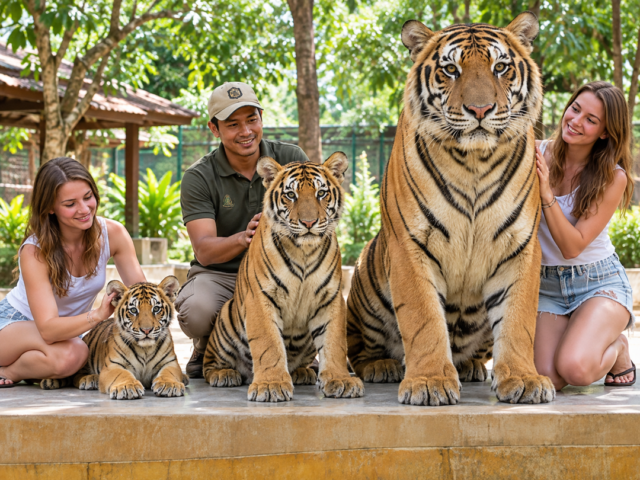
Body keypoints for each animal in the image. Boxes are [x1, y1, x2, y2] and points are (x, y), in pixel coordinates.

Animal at [202, 152, 364, 403]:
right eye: (290, 195)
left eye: (321, 193)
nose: (309, 223)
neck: (304, 251)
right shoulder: (260, 298)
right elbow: (268, 344)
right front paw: (271, 385)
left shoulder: (331, 298)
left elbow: (334, 342)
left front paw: (341, 380)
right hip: (226, 320)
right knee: (208, 364)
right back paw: (224, 374)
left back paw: (302, 373)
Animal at [346, 12, 555, 405]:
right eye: (450, 69)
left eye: (500, 67)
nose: (480, 110)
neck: (474, 161)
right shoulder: (409, 245)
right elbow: (423, 319)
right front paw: (428, 382)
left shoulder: (520, 246)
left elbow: (518, 320)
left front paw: (524, 379)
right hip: (365, 287)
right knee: (359, 348)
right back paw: (383, 366)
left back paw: (471, 367)